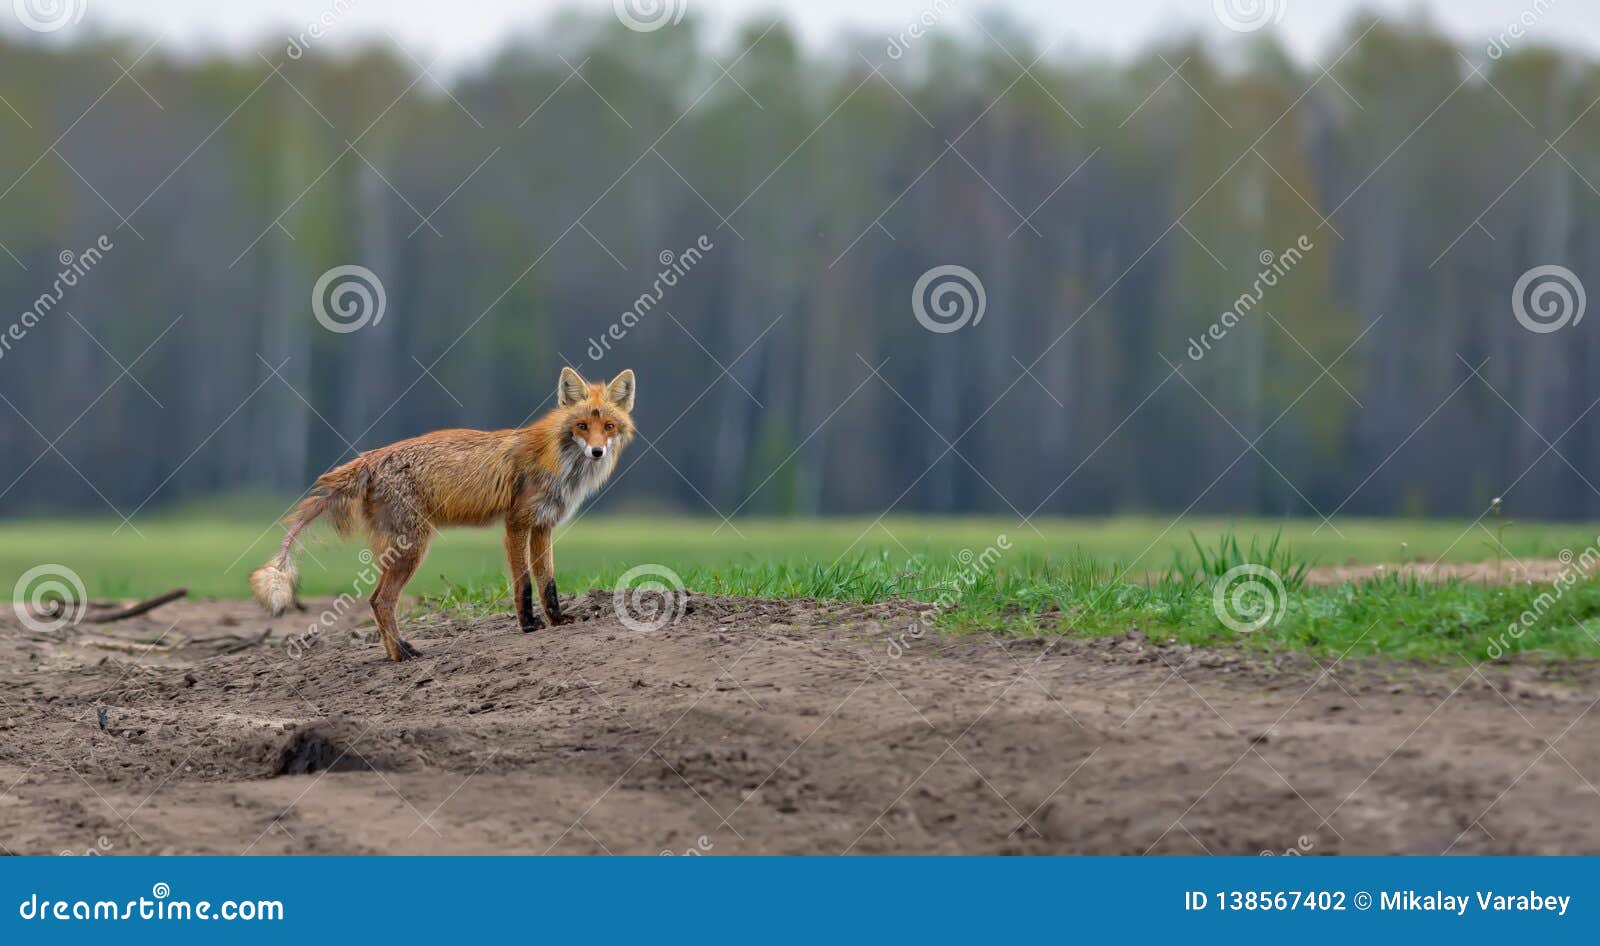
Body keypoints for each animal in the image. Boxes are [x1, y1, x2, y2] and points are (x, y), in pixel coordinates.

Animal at [250, 366, 636, 662]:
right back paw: (403, 654)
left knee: (375, 601)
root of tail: (370, 457)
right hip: (412, 547)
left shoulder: (543, 525)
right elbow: (523, 583)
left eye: (609, 427)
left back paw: (394, 653)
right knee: (382, 601)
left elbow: (547, 582)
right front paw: (528, 625)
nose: (598, 452)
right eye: (582, 425)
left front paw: (557, 620)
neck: (561, 463)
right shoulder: (516, 522)